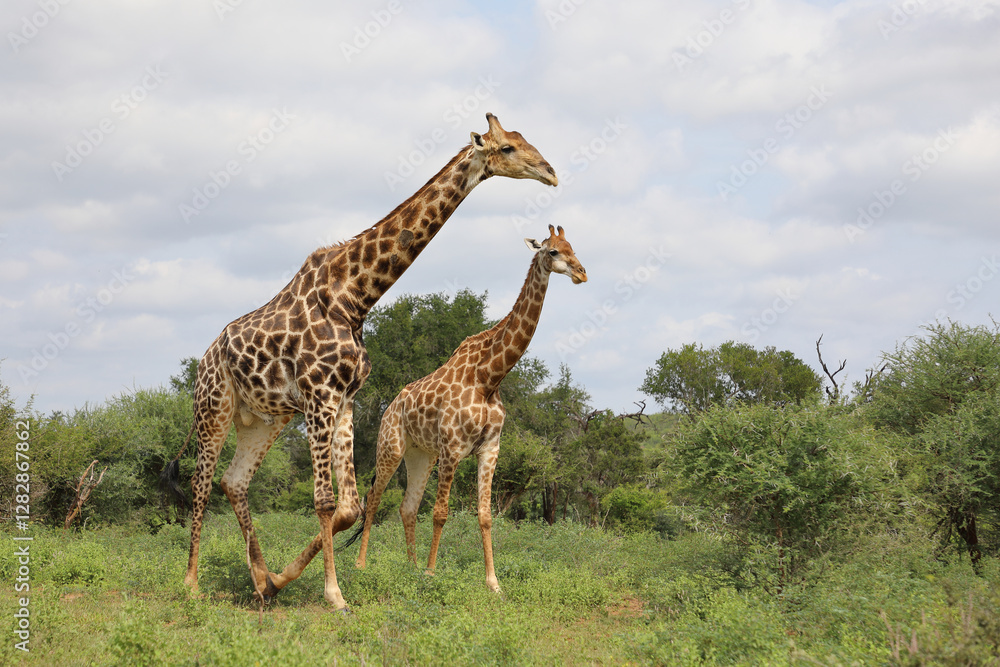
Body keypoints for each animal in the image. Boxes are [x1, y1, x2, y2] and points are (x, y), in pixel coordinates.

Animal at [180, 114, 558, 611]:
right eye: (508, 147)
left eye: (524, 138)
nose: (551, 172)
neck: (354, 297)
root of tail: (205, 358)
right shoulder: (320, 396)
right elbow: (324, 501)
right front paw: (334, 594)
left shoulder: (344, 400)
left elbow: (349, 507)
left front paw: (282, 578)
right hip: (215, 408)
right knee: (201, 482)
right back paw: (191, 584)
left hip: (264, 419)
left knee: (234, 481)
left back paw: (260, 581)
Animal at [351, 225, 587, 593]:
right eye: (553, 251)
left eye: (574, 247)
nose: (582, 273)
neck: (489, 376)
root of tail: (390, 407)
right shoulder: (452, 447)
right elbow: (441, 512)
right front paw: (432, 575)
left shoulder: (489, 449)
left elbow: (486, 515)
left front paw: (493, 583)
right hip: (391, 446)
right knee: (374, 499)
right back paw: (363, 566)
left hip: (421, 455)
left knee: (407, 507)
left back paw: (411, 567)